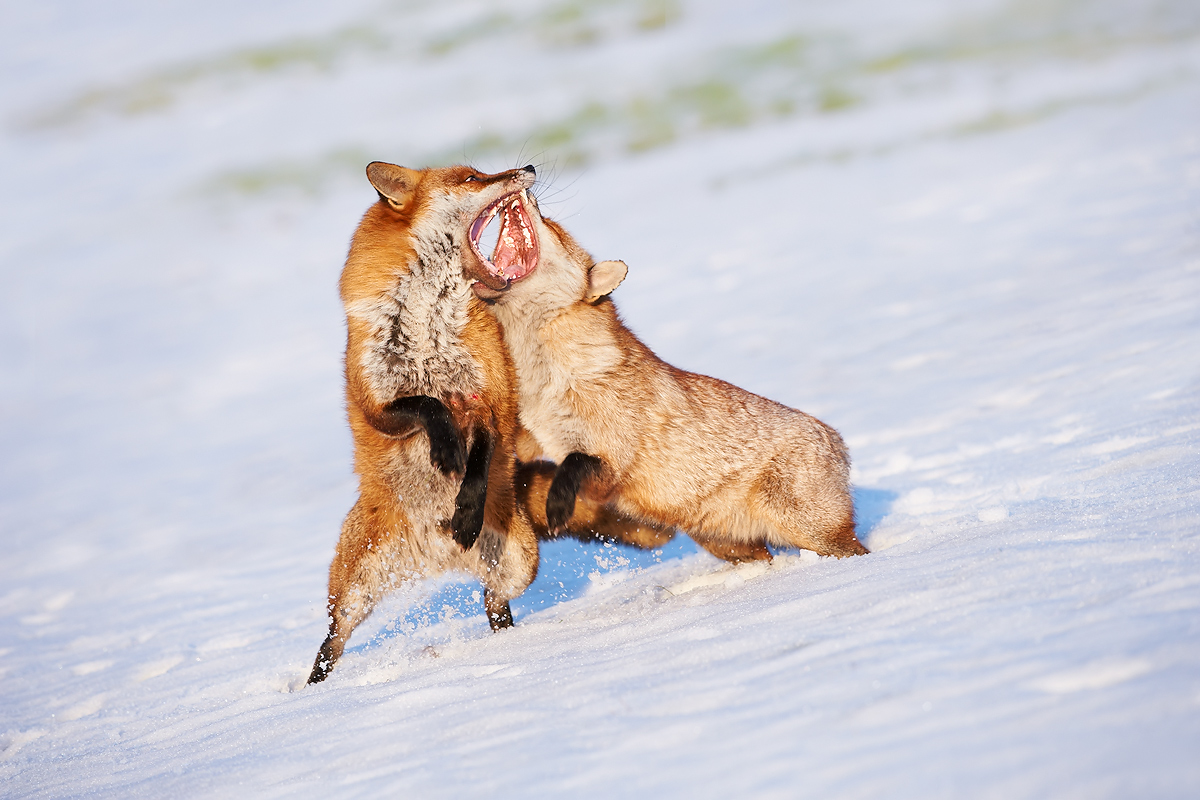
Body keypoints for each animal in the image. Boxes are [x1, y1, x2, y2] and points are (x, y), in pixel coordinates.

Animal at [309, 162, 672, 684]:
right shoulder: (378, 402)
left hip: (518, 563)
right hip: (352, 586)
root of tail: (434, 559)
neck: (431, 328)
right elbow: (427, 405)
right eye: (471, 178)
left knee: (494, 604)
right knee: (333, 640)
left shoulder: (489, 402)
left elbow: (477, 458)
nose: (529, 168)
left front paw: (464, 509)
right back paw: (312, 689)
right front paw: (444, 449)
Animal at [473, 193, 869, 563]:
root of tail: (838, 440)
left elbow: (574, 465)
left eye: (552, 227)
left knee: (856, 552)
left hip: (807, 530)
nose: (529, 180)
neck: (546, 386)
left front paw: (556, 506)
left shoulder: (608, 464)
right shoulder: (534, 438)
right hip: (728, 545)